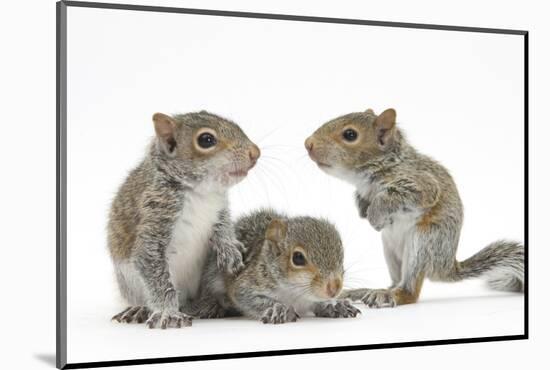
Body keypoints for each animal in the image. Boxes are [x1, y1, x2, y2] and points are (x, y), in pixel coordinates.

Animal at [110, 111, 264, 328]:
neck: (201, 193)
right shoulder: (155, 213)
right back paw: (140, 309)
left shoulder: (220, 208)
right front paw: (167, 312)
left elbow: (224, 226)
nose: (255, 153)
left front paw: (230, 249)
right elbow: (151, 264)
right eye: (206, 140)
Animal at [189, 208, 362, 324]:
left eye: (341, 253)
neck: (296, 293)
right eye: (298, 258)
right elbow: (247, 298)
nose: (334, 288)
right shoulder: (246, 284)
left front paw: (335, 305)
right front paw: (279, 309)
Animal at [306, 107, 528, 310]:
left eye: (350, 135)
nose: (308, 143)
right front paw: (362, 208)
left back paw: (390, 295)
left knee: (410, 292)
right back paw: (368, 291)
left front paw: (375, 216)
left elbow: (394, 198)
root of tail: (446, 267)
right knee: (395, 282)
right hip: (390, 250)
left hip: (423, 243)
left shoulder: (422, 185)